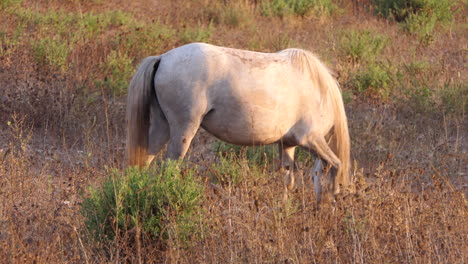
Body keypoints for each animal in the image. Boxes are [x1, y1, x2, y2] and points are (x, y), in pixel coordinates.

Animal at [126, 42, 350, 200]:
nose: (325, 207)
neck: (319, 90)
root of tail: (162, 59)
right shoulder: (310, 139)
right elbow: (336, 165)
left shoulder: (288, 144)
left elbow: (287, 180)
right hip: (183, 132)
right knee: (168, 169)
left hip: (162, 128)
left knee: (145, 161)